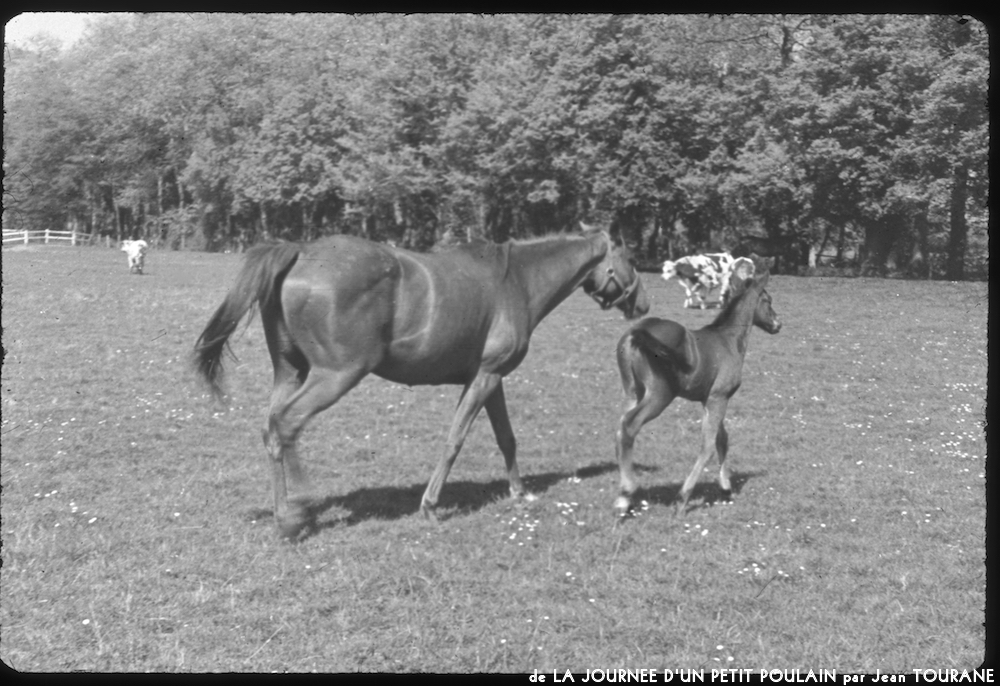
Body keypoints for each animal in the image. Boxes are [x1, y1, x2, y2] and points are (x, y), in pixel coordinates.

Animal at [197, 228, 648, 540]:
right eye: (631, 257)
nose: (643, 305)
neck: (516, 282)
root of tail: (301, 252)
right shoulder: (485, 378)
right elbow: (455, 440)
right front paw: (430, 505)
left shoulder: (491, 379)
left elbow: (506, 437)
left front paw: (520, 492)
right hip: (335, 375)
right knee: (287, 425)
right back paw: (300, 510)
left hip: (290, 373)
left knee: (271, 429)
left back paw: (283, 515)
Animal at [608, 266, 780, 520]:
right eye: (768, 300)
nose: (778, 324)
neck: (728, 340)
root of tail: (636, 331)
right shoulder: (719, 397)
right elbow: (708, 445)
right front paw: (683, 498)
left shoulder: (710, 399)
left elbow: (722, 439)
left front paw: (726, 489)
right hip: (659, 395)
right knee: (629, 425)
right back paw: (624, 495)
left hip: (631, 391)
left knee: (621, 428)